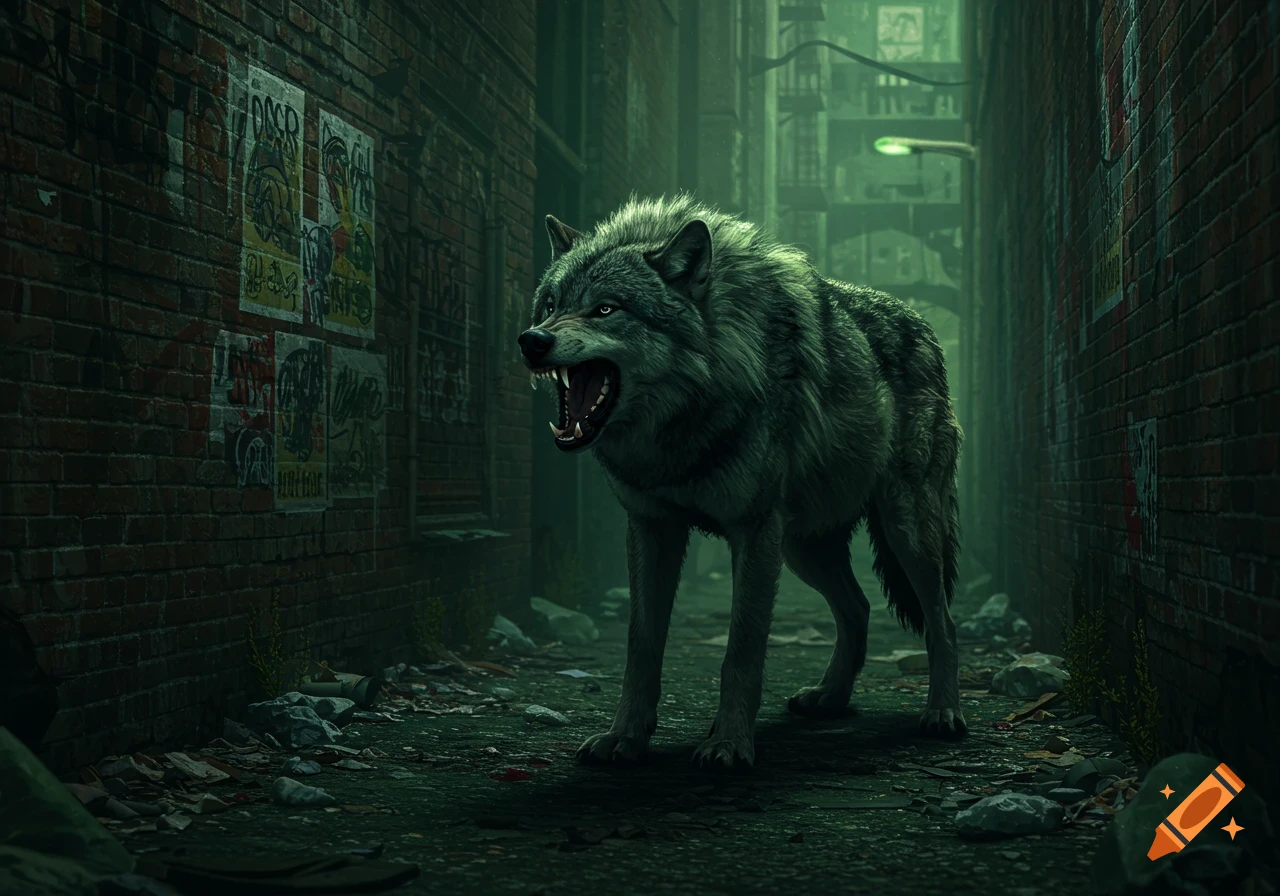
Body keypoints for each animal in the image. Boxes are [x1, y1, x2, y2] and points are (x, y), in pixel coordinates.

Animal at [518, 195, 966, 771]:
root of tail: (923, 326)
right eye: (550, 305)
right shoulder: (652, 528)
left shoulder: (753, 532)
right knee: (858, 608)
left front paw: (729, 744)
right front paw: (625, 738)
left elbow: (742, 649)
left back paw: (943, 713)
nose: (532, 341)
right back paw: (829, 698)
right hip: (802, 548)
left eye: (606, 309)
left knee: (941, 620)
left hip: (904, 532)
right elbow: (641, 646)